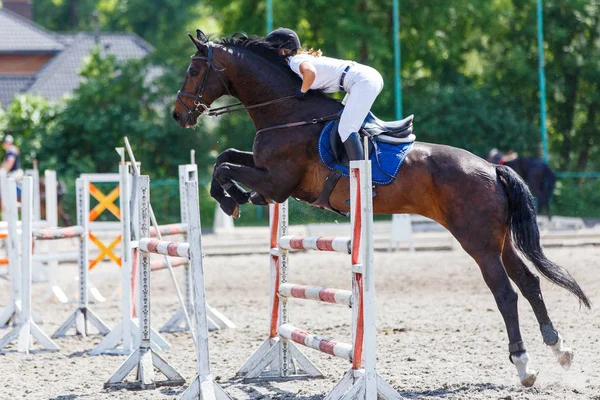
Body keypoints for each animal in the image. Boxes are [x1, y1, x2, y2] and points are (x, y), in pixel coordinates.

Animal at [172, 31, 592, 388]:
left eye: (194, 70)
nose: (179, 115)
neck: (287, 112)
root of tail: (492, 168)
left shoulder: (278, 181)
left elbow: (224, 167)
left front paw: (231, 199)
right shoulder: (269, 176)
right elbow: (226, 157)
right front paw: (239, 198)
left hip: (478, 242)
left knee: (505, 292)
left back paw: (523, 365)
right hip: (500, 240)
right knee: (529, 281)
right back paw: (560, 349)